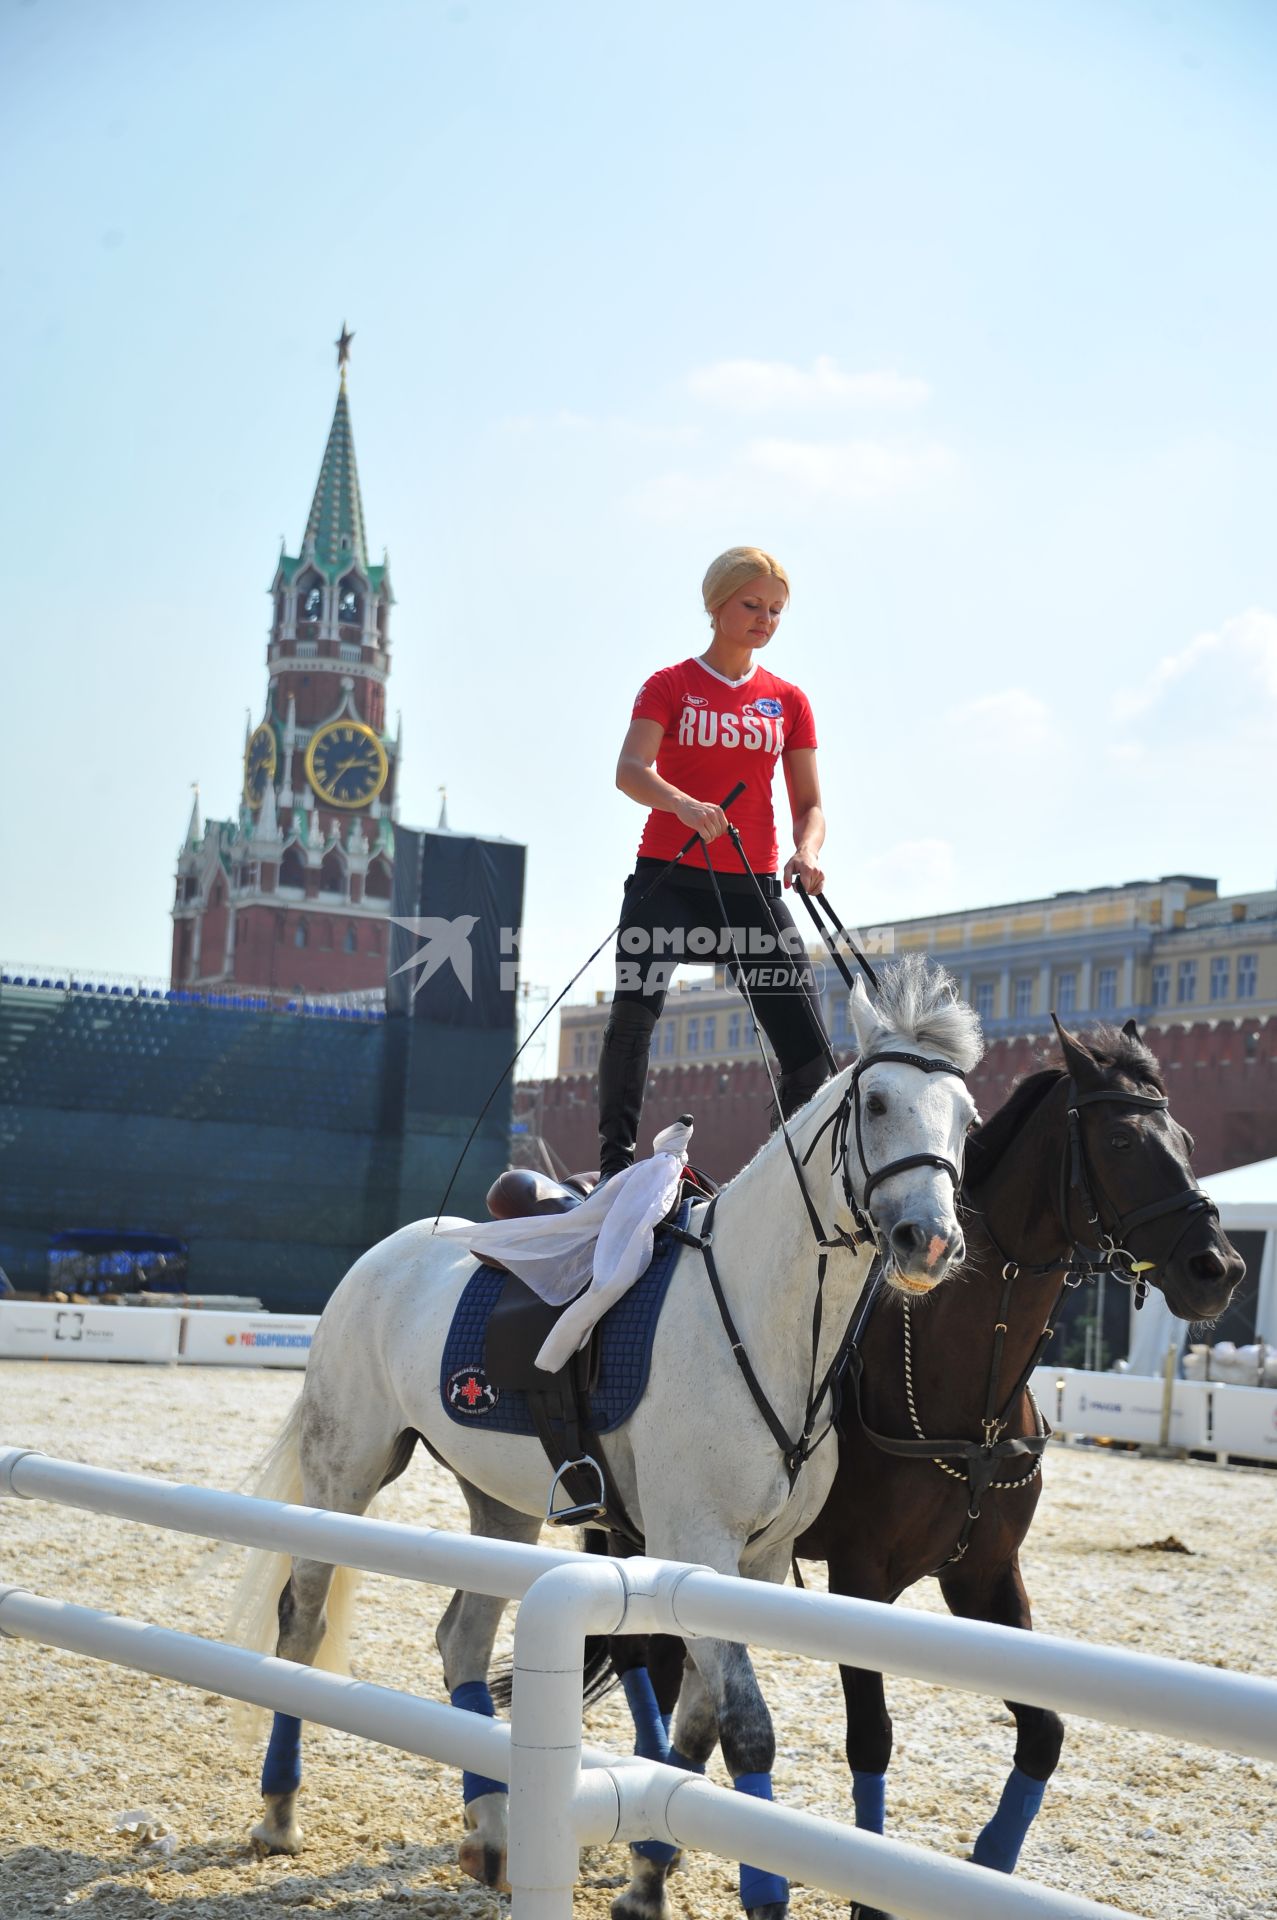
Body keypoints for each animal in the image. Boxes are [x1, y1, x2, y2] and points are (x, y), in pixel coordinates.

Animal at [234, 967, 979, 1912]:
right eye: (877, 1101)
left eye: (967, 1120)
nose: (931, 1240)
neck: (759, 1318)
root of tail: (387, 1252)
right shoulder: (695, 1544)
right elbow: (747, 1728)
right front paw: (755, 1891)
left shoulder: (754, 1564)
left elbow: (698, 1728)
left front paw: (649, 1878)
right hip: (345, 1473)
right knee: (302, 1618)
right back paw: (278, 1811)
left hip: (501, 1505)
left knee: (462, 1639)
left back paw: (494, 1833)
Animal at [591, 1029, 1236, 1920]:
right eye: (1116, 1141)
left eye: (1187, 1140)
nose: (1218, 1267)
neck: (966, 1390)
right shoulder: (859, 1579)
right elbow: (872, 1737)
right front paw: (868, 1889)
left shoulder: (984, 1576)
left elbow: (1043, 1731)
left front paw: (988, 1864)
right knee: (642, 1658)